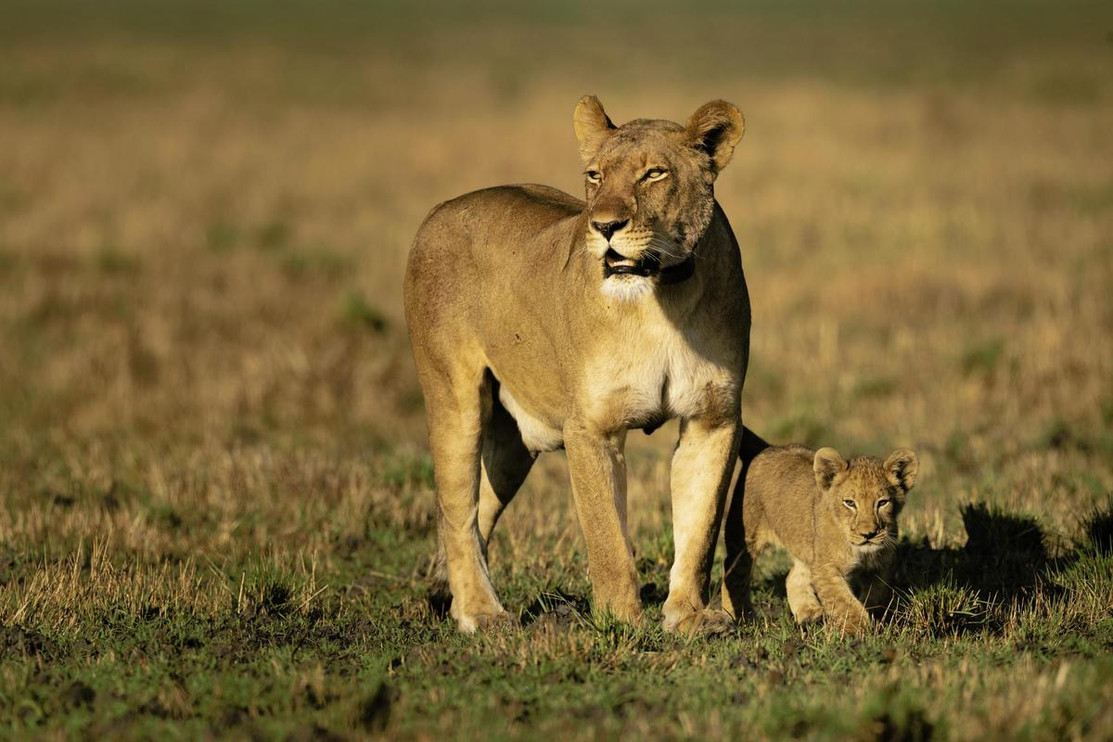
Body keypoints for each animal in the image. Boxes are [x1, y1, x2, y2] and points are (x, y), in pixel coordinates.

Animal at [404, 96, 750, 633]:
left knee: (478, 512)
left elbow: (699, 529)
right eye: (595, 175)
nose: (604, 226)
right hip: (453, 400)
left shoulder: (713, 419)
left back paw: (454, 599)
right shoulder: (591, 427)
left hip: (512, 446)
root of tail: (439, 210)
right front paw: (623, 621)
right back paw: (482, 613)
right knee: (457, 508)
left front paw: (690, 617)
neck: (660, 299)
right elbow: (607, 536)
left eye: (653, 173)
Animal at [720, 428, 919, 634]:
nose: (868, 534)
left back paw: (810, 614)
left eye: (882, 503)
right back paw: (740, 616)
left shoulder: (881, 565)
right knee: (733, 573)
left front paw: (874, 615)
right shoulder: (826, 567)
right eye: (850, 503)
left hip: (807, 548)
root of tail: (765, 447)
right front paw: (859, 630)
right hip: (745, 536)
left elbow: (878, 593)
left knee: (792, 577)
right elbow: (844, 602)